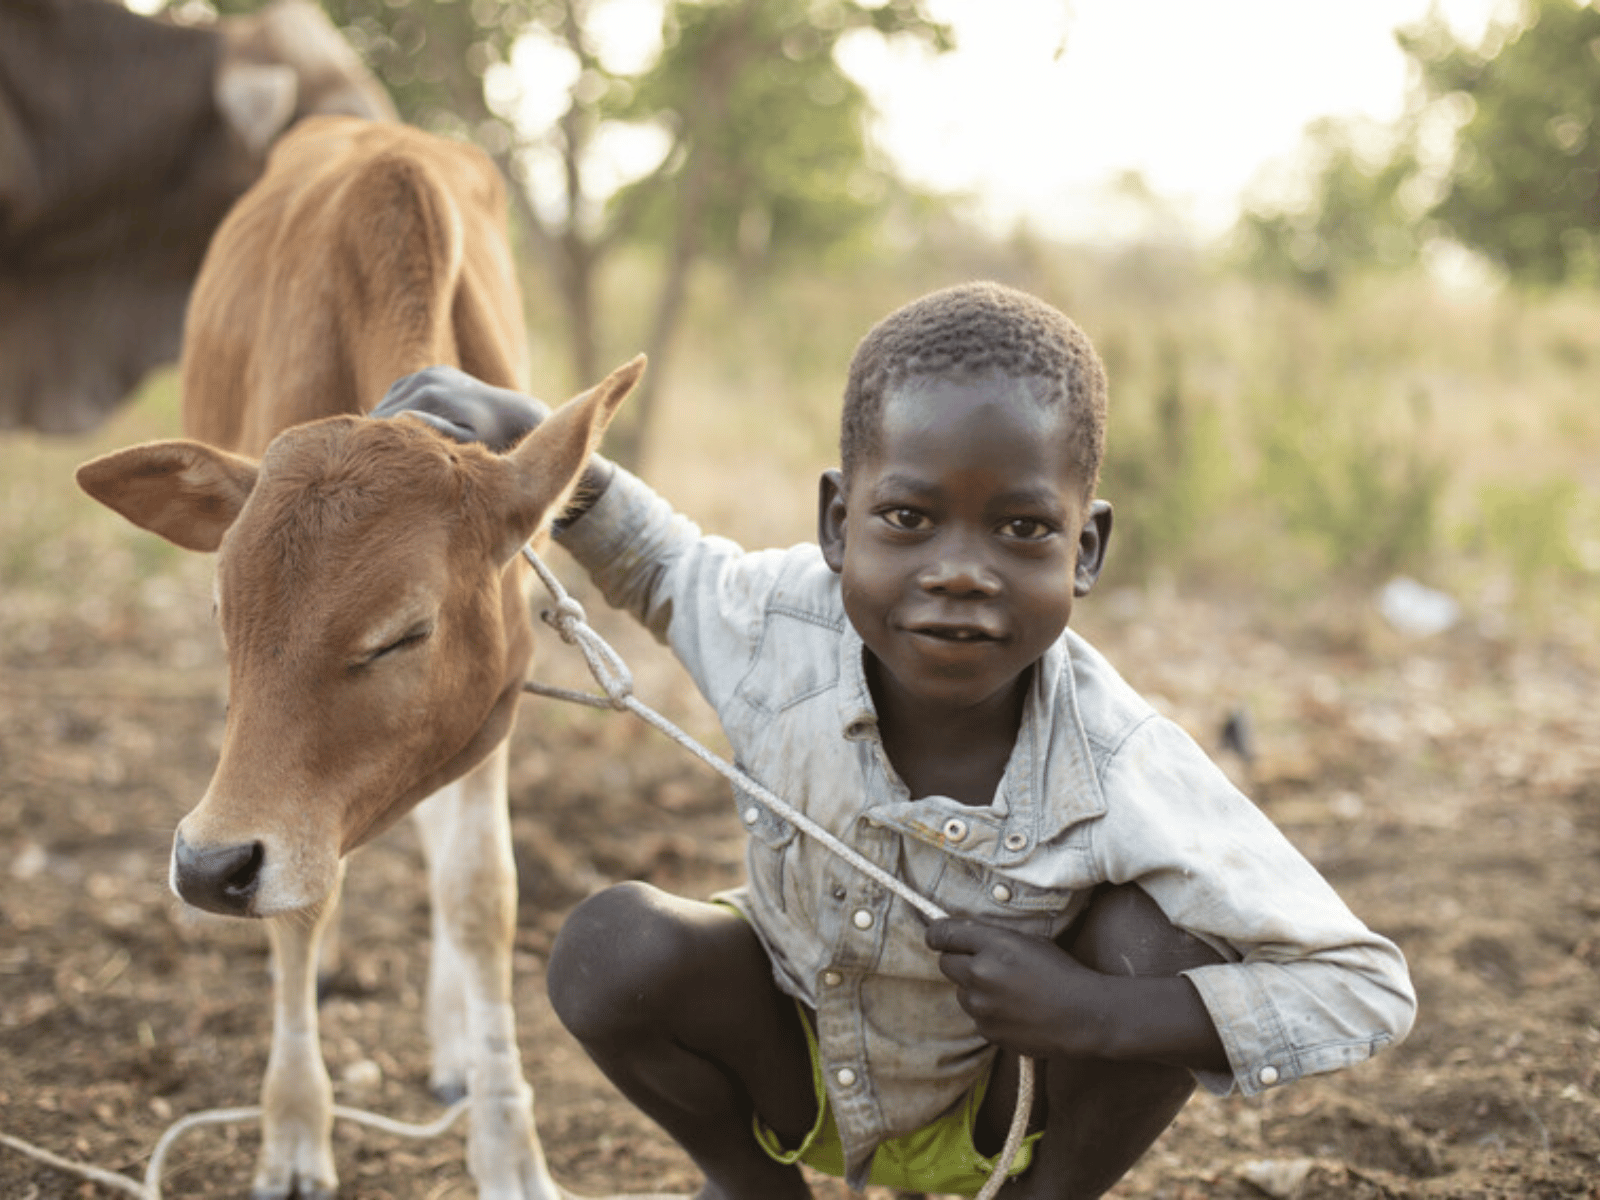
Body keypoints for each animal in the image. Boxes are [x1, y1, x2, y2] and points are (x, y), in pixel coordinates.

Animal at [73, 115, 636, 1200]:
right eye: (223, 612)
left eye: (402, 634)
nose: (204, 866)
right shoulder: (274, 784)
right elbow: (302, 906)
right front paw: (294, 1132)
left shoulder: (489, 709)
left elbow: (480, 897)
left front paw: (509, 1146)